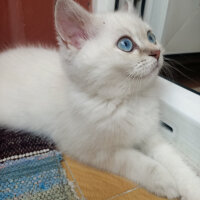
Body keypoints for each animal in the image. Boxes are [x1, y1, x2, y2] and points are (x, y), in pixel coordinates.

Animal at [0, 0, 200, 199]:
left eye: (151, 37)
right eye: (126, 44)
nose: (157, 51)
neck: (128, 100)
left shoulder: (150, 135)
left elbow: (175, 161)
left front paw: (192, 186)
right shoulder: (93, 150)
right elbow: (138, 161)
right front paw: (164, 180)